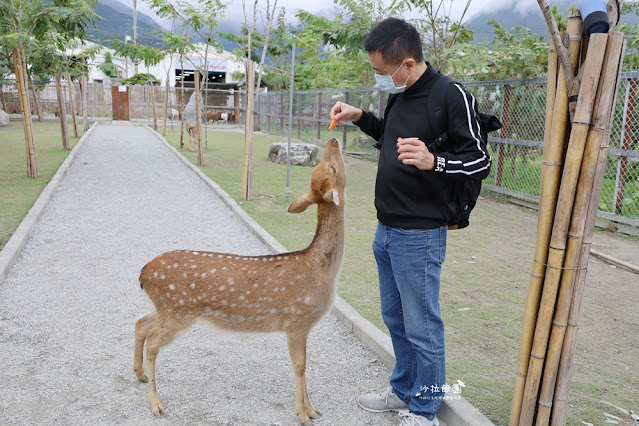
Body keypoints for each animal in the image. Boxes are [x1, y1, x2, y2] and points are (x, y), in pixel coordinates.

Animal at [132, 138, 348, 424]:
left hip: (166, 308)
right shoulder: (297, 321)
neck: (322, 272)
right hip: (177, 310)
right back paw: (156, 405)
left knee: (141, 324)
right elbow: (300, 365)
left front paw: (312, 409)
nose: (333, 140)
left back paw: (140, 375)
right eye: (332, 167)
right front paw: (304, 413)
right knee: (153, 344)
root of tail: (144, 273)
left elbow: (302, 365)